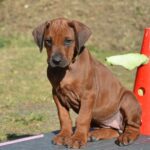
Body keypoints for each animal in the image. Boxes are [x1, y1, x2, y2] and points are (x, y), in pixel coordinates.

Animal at [32, 17, 141, 149]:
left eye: (68, 41)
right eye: (48, 41)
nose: (56, 60)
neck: (66, 69)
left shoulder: (88, 95)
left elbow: (82, 118)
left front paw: (77, 139)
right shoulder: (57, 95)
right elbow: (64, 117)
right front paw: (64, 135)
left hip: (128, 99)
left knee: (133, 127)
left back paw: (127, 136)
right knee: (114, 130)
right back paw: (95, 134)